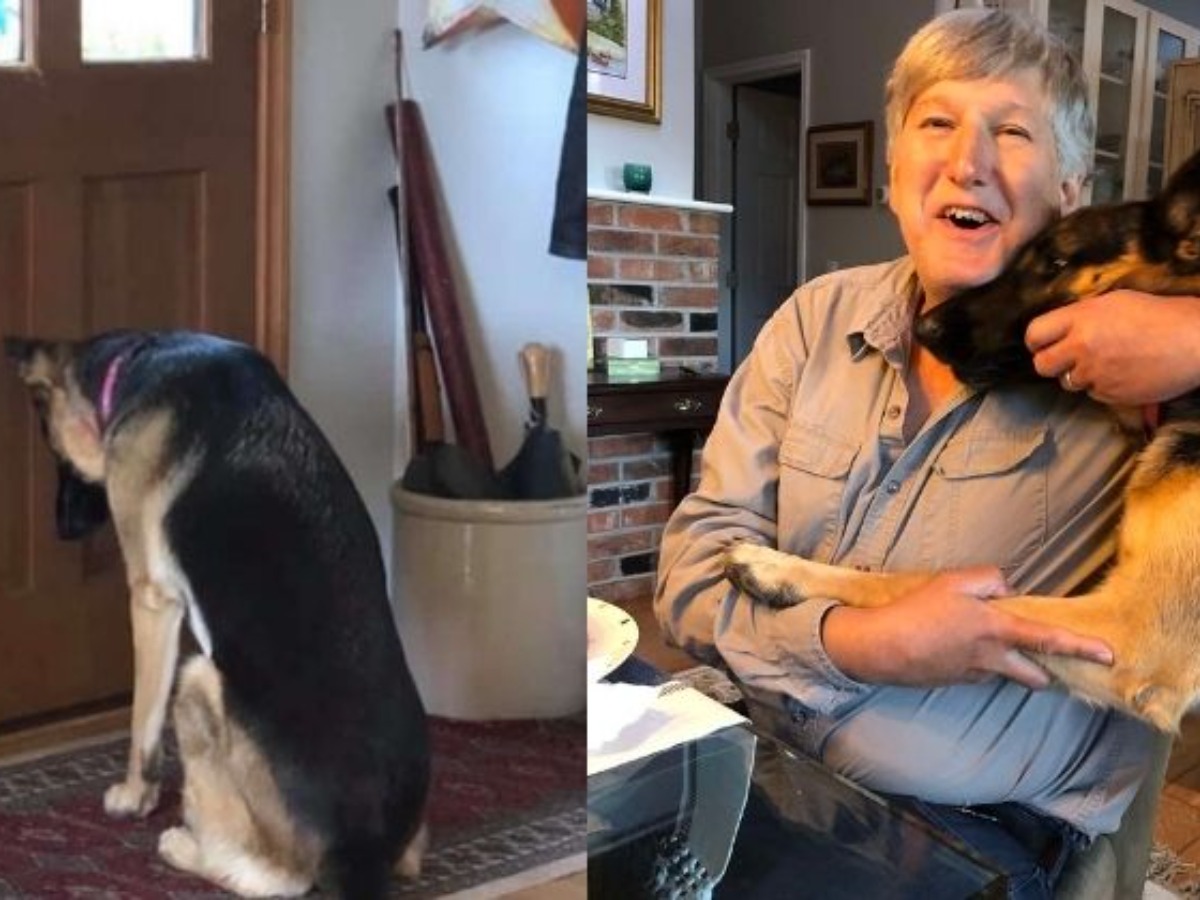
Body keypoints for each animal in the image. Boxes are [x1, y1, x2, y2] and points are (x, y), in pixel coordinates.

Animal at [3, 333, 427, 900]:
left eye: (55, 452)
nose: (61, 530)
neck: (138, 361)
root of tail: (360, 849)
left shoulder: (153, 598)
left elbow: (142, 721)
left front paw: (134, 796)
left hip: (197, 681)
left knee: (277, 876)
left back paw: (187, 846)